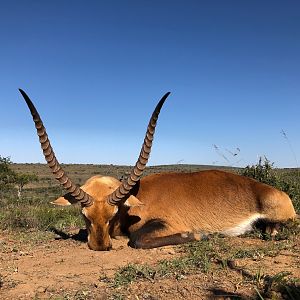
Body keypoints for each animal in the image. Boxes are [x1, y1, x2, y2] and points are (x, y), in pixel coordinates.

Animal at [19, 89, 298, 251]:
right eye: (84, 215)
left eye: (112, 214)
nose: (100, 246)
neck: (134, 201)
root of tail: (275, 191)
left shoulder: (164, 223)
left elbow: (137, 239)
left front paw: (198, 235)